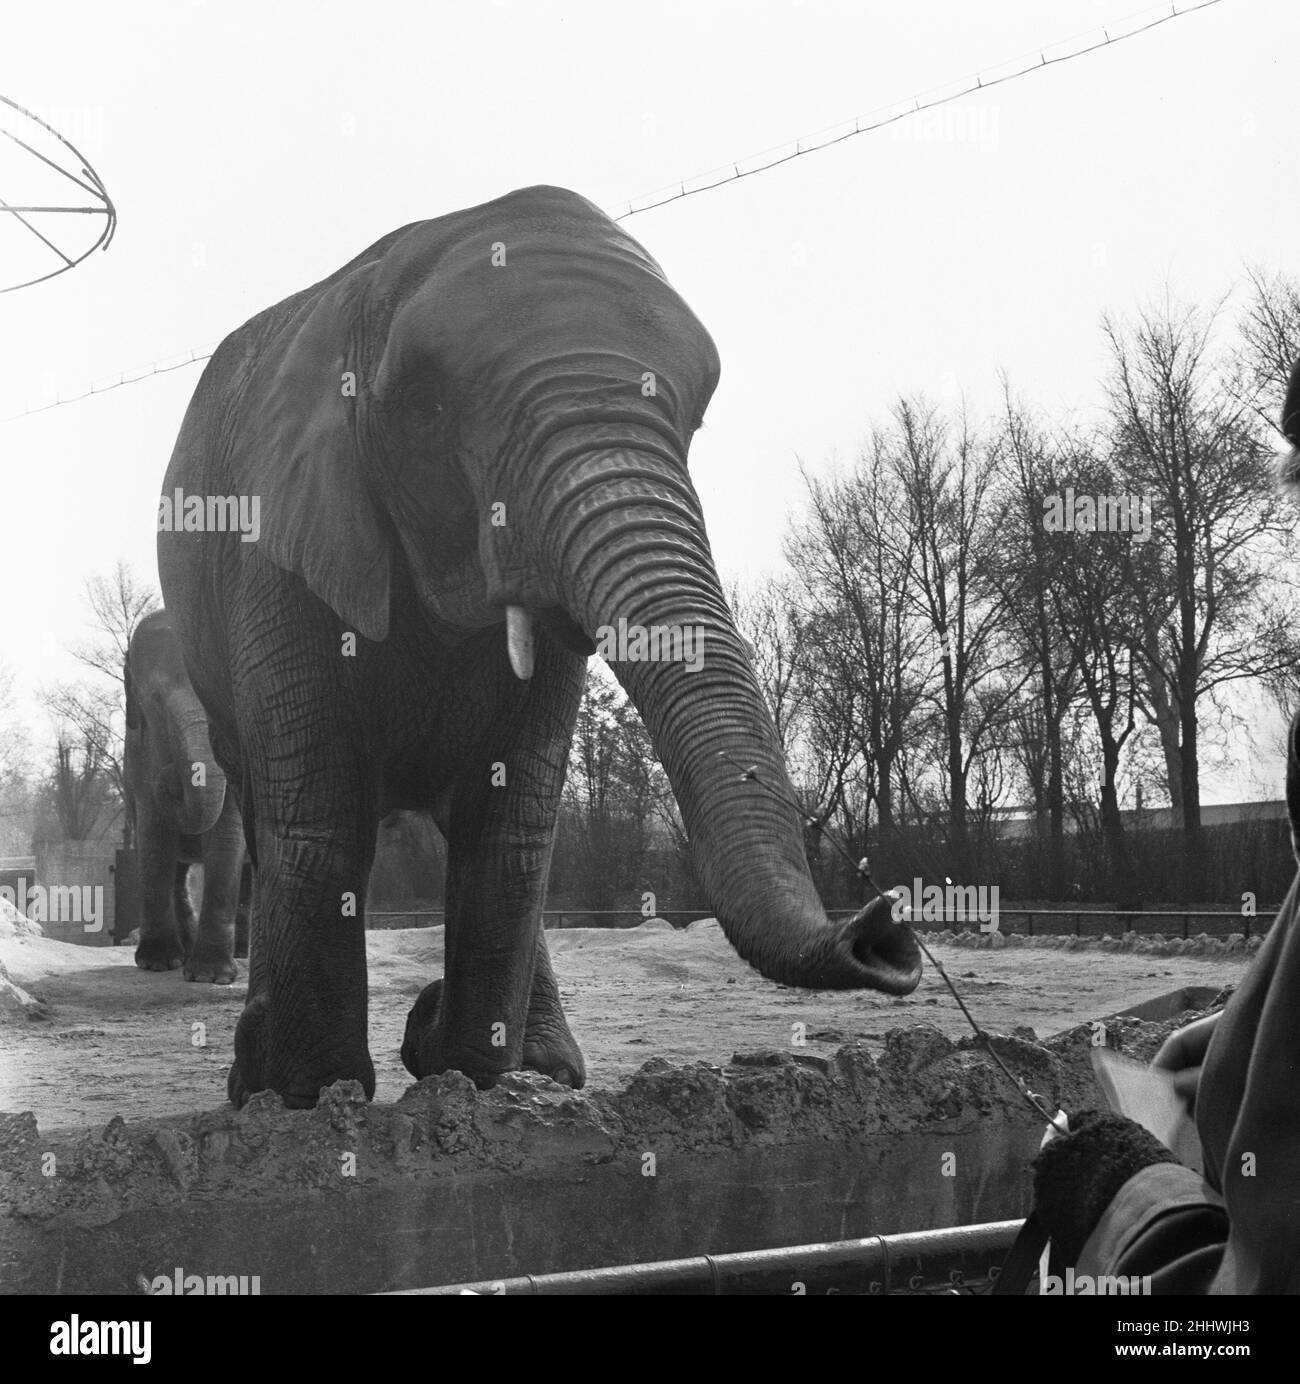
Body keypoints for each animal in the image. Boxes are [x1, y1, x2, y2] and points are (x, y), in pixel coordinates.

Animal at [123, 609, 250, 982]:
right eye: (153, 699)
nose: (171, 778)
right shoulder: (139, 751)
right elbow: (153, 834)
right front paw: (156, 964)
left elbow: (227, 837)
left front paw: (210, 977)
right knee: (177, 872)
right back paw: (183, 952)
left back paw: (241, 955)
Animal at [157, 184, 921, 1109]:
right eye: (426, 410)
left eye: (695, 419)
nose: (884, 930)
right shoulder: (277, 541)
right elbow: (321, 812)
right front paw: (312, 1100)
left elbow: (512, 822)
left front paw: (468, 1079)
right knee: (271, 816)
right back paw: (260, 1079)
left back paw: (541, 1066)